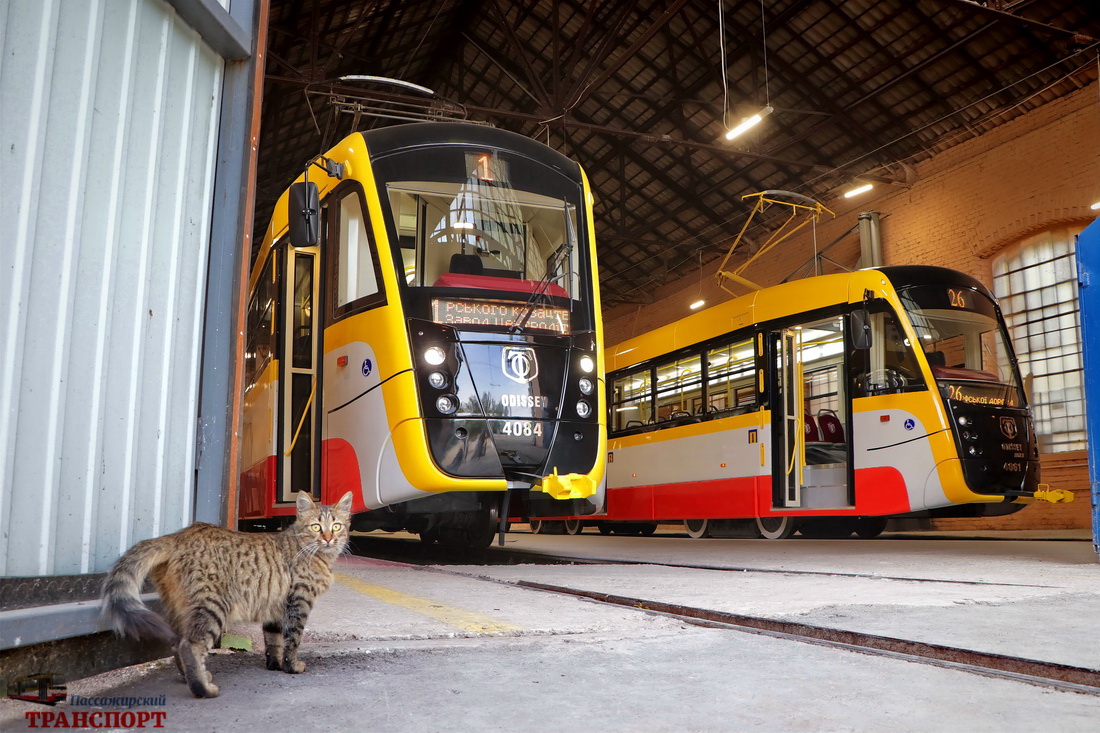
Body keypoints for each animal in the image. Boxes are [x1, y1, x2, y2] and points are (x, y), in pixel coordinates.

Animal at [103, 488, 352, 695]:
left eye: (336, 526)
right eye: (316, 527)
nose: (328, 538)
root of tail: (180, 535)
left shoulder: (275, 607)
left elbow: (273, 641)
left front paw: (276, 665)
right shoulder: (298, 602)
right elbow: (293, 639)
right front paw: (292, 666)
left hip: (181, 608)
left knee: (176, 644)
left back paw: (192, 677)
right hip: (213, 604)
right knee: (190, 645)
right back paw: (202, 688)